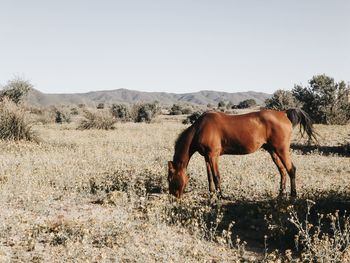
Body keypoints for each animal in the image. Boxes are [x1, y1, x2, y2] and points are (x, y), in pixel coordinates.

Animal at [167, 109, 318, 198]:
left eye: (170, 178)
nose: (173, 197)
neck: (200, 128)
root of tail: (284, 113)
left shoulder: (213, 156)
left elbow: (216, 176)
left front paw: (221, 196)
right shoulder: (207, 157)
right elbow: (209, 177)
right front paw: (211, 194)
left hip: (281, 149)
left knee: (291, 169)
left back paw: (293, 195)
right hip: (273, 151)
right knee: (282, 171)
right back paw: (280, 195)